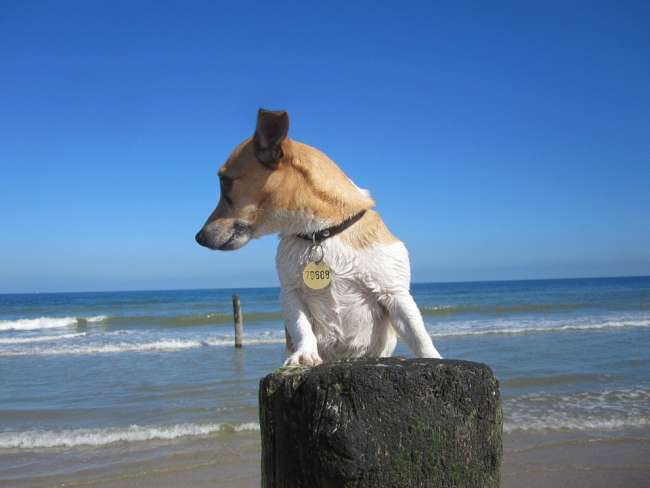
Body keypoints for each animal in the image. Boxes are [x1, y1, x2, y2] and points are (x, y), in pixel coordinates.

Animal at [196, 107, 440, 366]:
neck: (320, 234)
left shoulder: (395, 294)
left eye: (225, 182)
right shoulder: (291, 295)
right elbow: (301, 327)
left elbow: (419, 335)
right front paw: (304, 354)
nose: (198, 237)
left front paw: (433, 357)